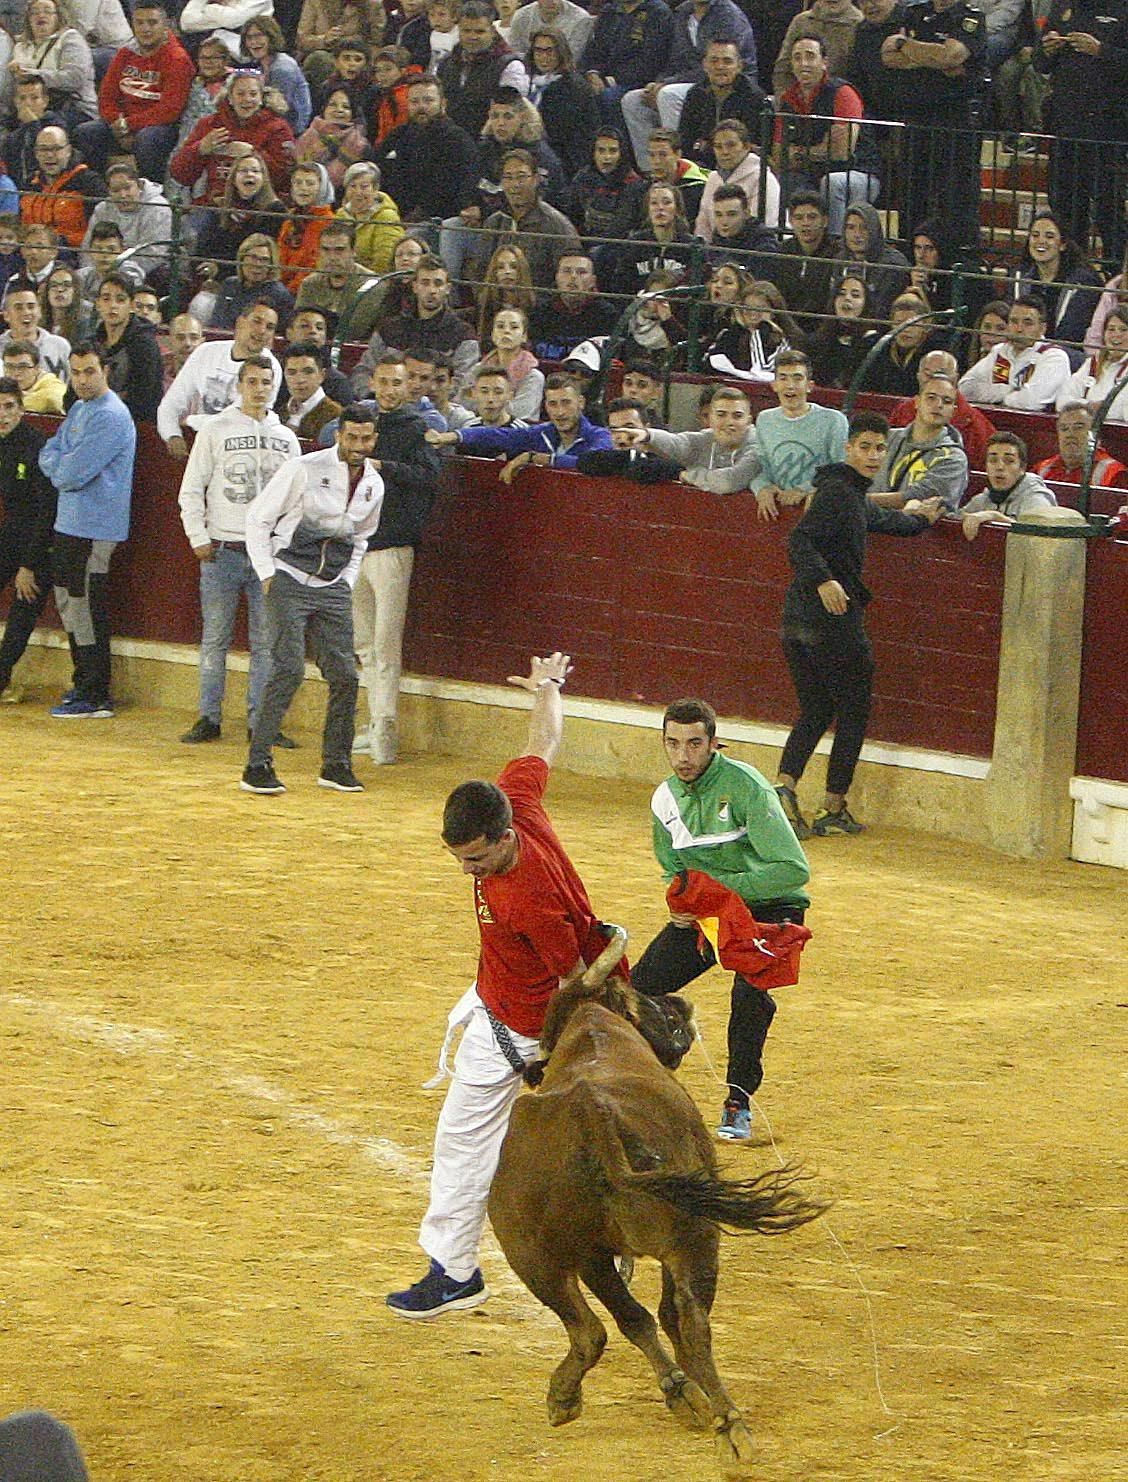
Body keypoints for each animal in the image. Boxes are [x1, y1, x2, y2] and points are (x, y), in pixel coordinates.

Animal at [489, 930, 824, 1476]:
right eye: (651, 1003)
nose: (680, 1003)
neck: (592, 1028)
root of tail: (593, 1113)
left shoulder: (601, 1254)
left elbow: (639, 1318)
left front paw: (683, 1392)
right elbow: (661, 1318)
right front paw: (691, 1394)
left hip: (549, 1251)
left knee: (600, 1327)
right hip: (662, 1241)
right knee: (675, 1322)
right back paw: (726, 1424)